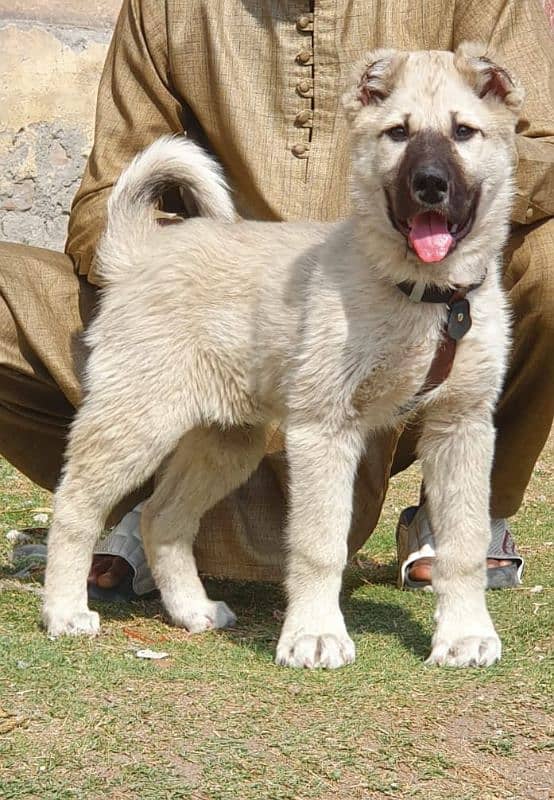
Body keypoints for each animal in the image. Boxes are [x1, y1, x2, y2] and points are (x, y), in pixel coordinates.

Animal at [42, 43, 520, 668]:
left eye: (464, 132)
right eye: (398, 133)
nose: (430, 185)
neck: (426, 297)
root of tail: (138, 252)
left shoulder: (461, 426)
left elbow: (462, 543)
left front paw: (463, 635)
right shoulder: (326, 428)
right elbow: (319, 543)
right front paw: (315, 634)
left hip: (227, 440)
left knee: (163, 517)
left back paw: (192, 611)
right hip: (136, 421)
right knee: (75, 506)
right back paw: (65, 611)